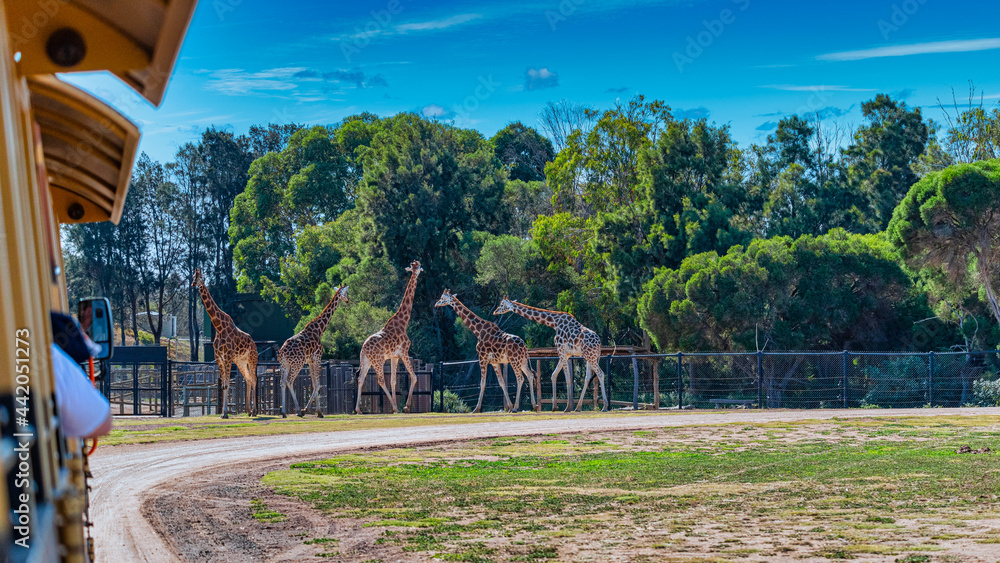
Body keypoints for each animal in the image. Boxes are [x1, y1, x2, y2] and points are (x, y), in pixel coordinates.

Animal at [191, 268, 260, 418]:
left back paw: (255, 411)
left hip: (252, 359)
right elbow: (223, 385)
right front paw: (223, 413)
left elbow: (228, 384)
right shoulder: (219, 358)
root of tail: (254, 344)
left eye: (201, 277)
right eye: (193, 276)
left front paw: (225, 414)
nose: (193, 284)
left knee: (254, 379)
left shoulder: (227, 357)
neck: (219, 327)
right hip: (240, 361)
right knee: (248, 379)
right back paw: (248, 410)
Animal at [276, 286, 350, 418]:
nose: (348, 300)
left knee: (282, 382)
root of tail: (282, 353)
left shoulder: (310, 360)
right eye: (346, 292)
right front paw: (317, 411)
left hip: (285, 365)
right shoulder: (317, 357)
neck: (320, 329)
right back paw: (298, 410)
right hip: (297, 364)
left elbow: (314, 383)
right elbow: (318, 384)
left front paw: (312, 410)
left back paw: (284, 412)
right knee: (290, 381)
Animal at [356, 260, 422, 414]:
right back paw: (394, 407)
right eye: (418, 267)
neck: (403, 322)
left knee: (361, 379)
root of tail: (364, 348)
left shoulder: (394, 356)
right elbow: (414, 376)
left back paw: (358, 409)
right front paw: (405, 407)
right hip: (378, 360)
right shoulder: (404, 352)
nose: (419, 271)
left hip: (366, 360)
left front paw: (398, 406)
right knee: (380, 380)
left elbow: (393, 380)